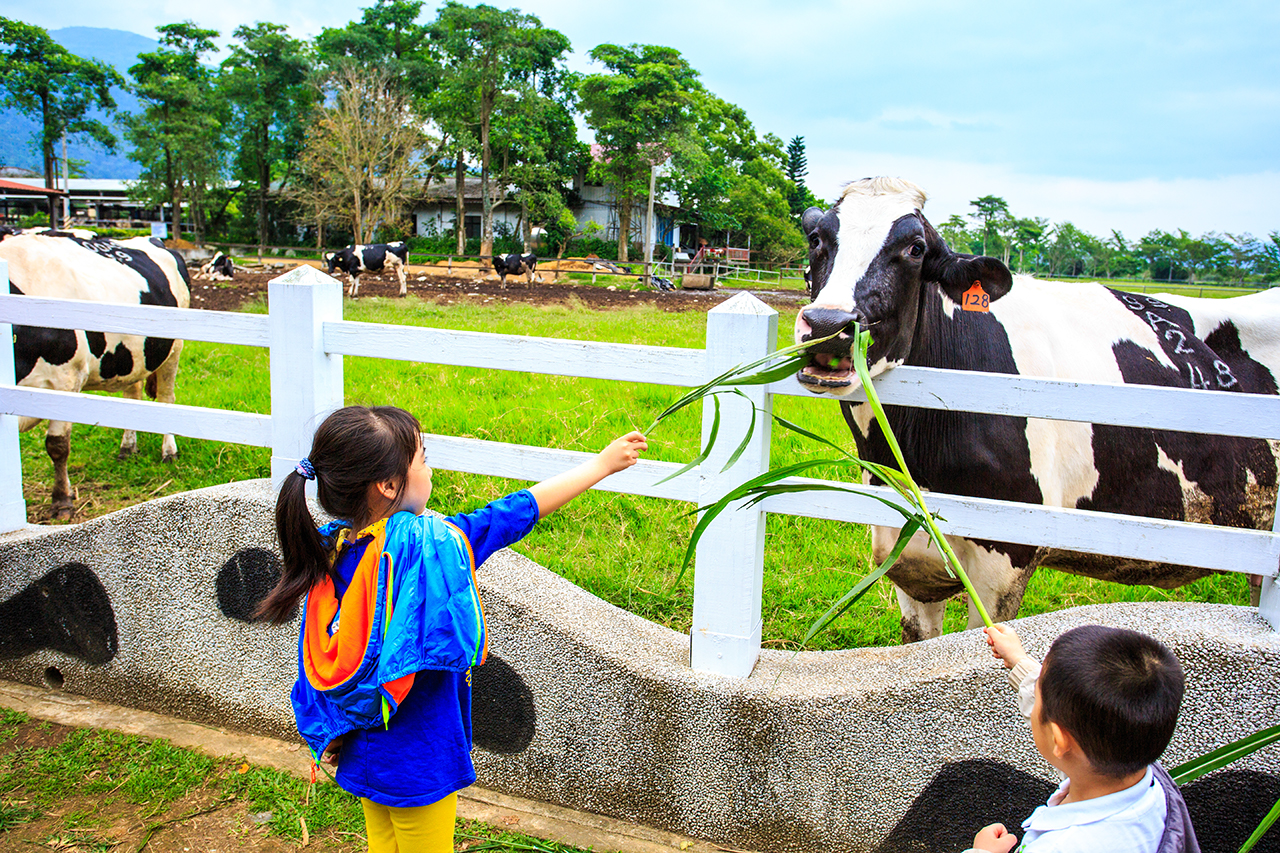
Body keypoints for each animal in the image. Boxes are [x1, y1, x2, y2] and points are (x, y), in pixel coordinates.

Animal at [0, 229, 189, 517]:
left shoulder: (67, 379)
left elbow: (57, 445)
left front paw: (62, 500)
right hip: (131, 357)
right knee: (133, 396)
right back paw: (127, 448)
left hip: (172, 350)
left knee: (167, 399)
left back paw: (169, 451)